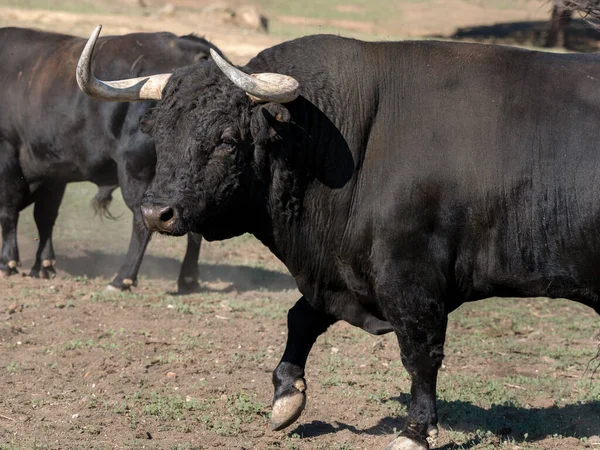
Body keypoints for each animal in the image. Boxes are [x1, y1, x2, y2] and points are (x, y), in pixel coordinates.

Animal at [0, 27, 220, 292]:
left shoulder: (7, 156)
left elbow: (9, 211)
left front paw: (8, 262)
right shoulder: (53, 173)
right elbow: (45, 217)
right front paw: (43, 266)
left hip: (136, 172)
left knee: (142, 221)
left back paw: (122, 278)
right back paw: (188, 279)